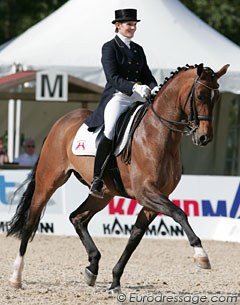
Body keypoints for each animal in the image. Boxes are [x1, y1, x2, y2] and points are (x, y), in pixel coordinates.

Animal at [7, 63, 229, 290]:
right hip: (49, 181)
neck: (158, 134)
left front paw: (115, 280)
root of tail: (61, 122)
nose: (204, 137)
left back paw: (92, 267)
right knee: (31, 221)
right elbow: (179, 213)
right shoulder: (146, 192)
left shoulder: (155, 198)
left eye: (217, 97)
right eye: (200, 95)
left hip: (104, 194)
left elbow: (135, 237)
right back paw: (16, 276)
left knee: (77, 217)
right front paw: (201, 255)